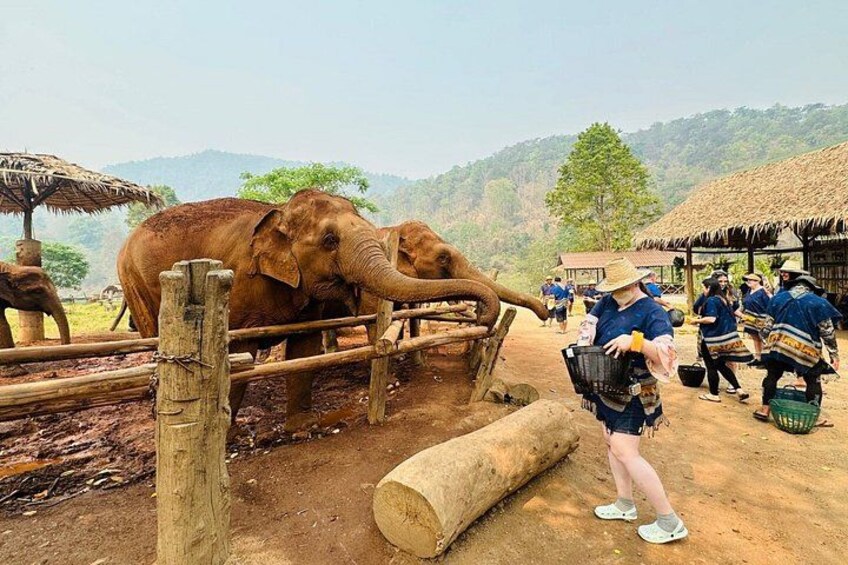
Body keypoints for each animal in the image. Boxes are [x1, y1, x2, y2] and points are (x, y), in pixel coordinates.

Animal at [117, 190, 501, 427]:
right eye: (330, 241)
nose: (483, 317)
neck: (279, 212)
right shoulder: (236, 283)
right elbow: (237, 353)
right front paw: (228, 434)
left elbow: (304, 348)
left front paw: (304, 426)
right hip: (134, 281)